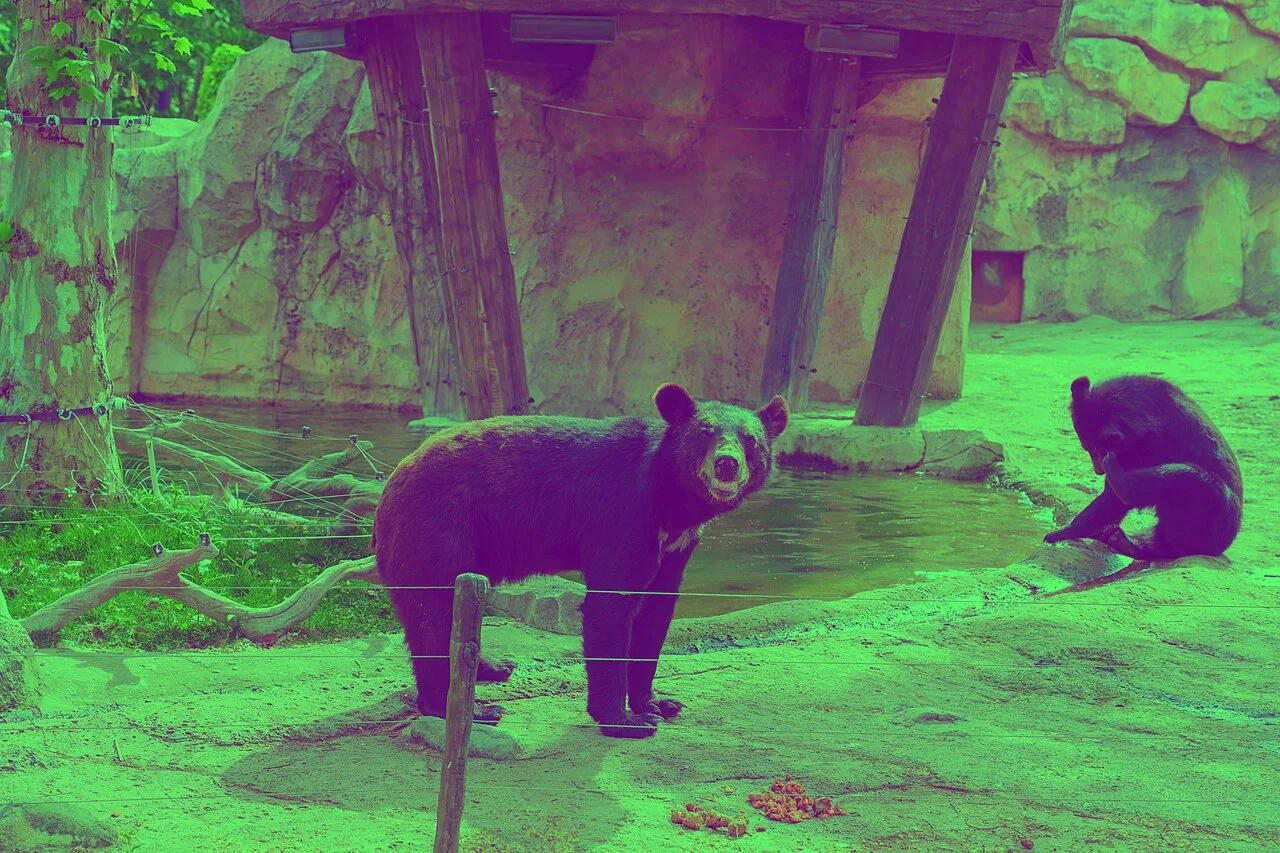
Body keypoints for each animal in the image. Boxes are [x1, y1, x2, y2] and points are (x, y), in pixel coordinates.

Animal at [371, 383, 789, 738]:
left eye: (750, 440)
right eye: (705, 434)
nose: (727, 464)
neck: (671, 500)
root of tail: (390, 484)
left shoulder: (677, 546)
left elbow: (656, 614)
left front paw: (659, 702)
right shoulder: (622, 517)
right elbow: (611, 606)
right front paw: (627, 721)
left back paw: (493, 666)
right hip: (437, 530)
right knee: (432, 612)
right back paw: (471, 708)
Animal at [1043, 374, 1243, 561]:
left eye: (1098, 450)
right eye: (1087, 449)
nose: (1099, 471)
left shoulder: (1147, 444)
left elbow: (1113, 499)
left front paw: (1057, 533)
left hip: (1212, 513)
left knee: (1185, 478)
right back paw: (1120, 539)